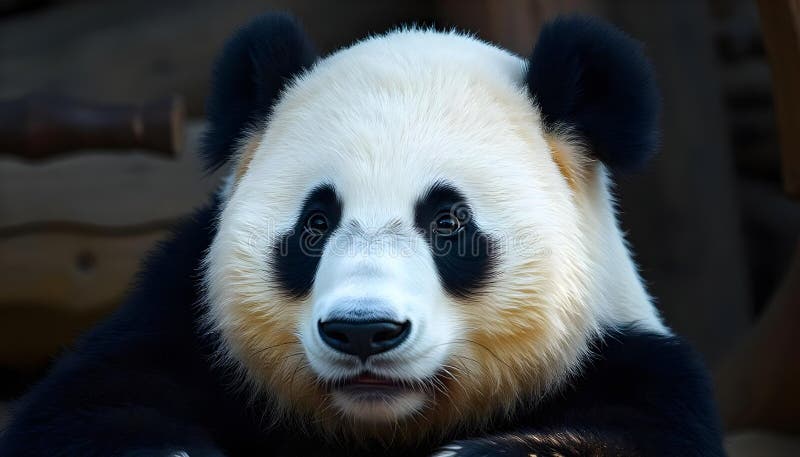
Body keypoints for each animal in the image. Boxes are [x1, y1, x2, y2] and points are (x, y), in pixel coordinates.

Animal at [0, 13, 725, 457]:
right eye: (316, 223)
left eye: (447, 222)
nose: (363, 331)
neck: (382, 425)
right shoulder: (187, 324)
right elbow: (84, 405)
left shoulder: (619, 359)